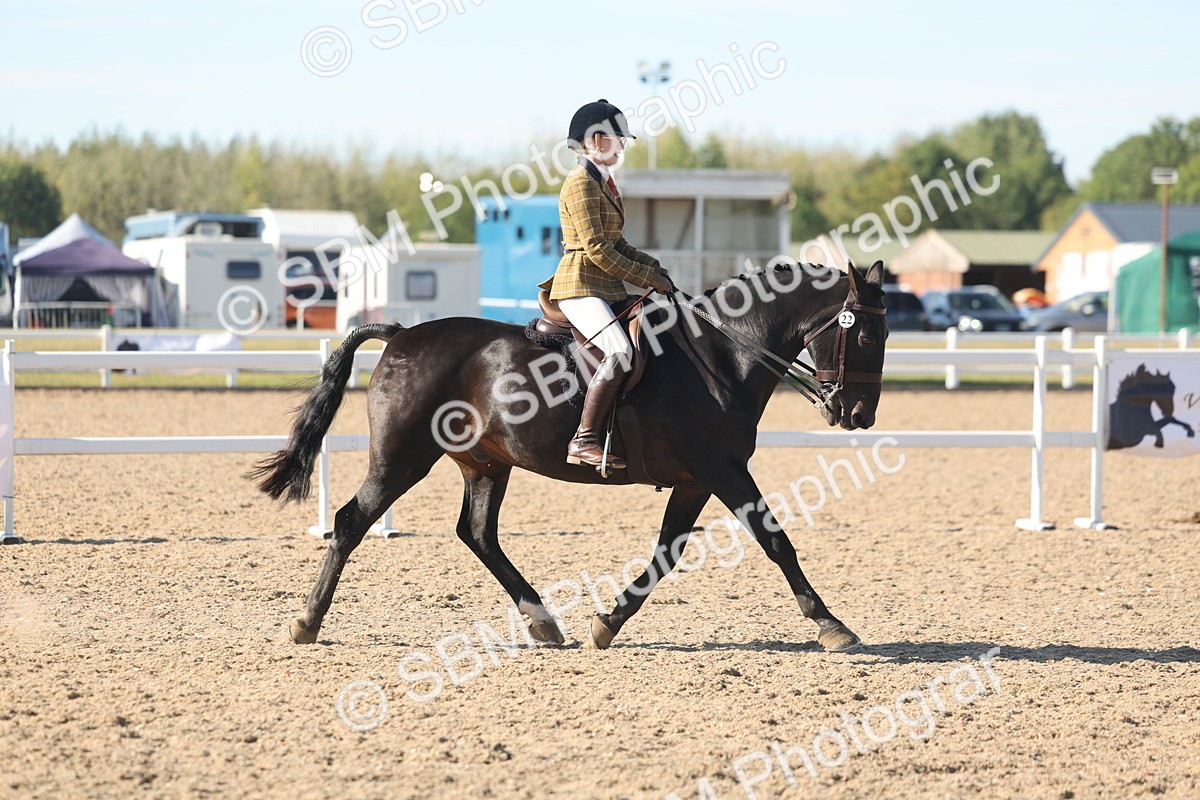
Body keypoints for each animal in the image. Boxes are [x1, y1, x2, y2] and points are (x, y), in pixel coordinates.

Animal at [250, 260, 889, 652]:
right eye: (863, 336)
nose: (858, 414)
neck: (722, 352)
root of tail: (403, 334)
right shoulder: (723, 470)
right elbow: (776, 540)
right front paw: (831, 624)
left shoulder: (696, 480)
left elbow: (667, 552)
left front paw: (607, 623)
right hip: (402, 459)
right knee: (352, 521)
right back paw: (307, 621)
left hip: (486, 463)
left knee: (477, 533)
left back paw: (543, 621)